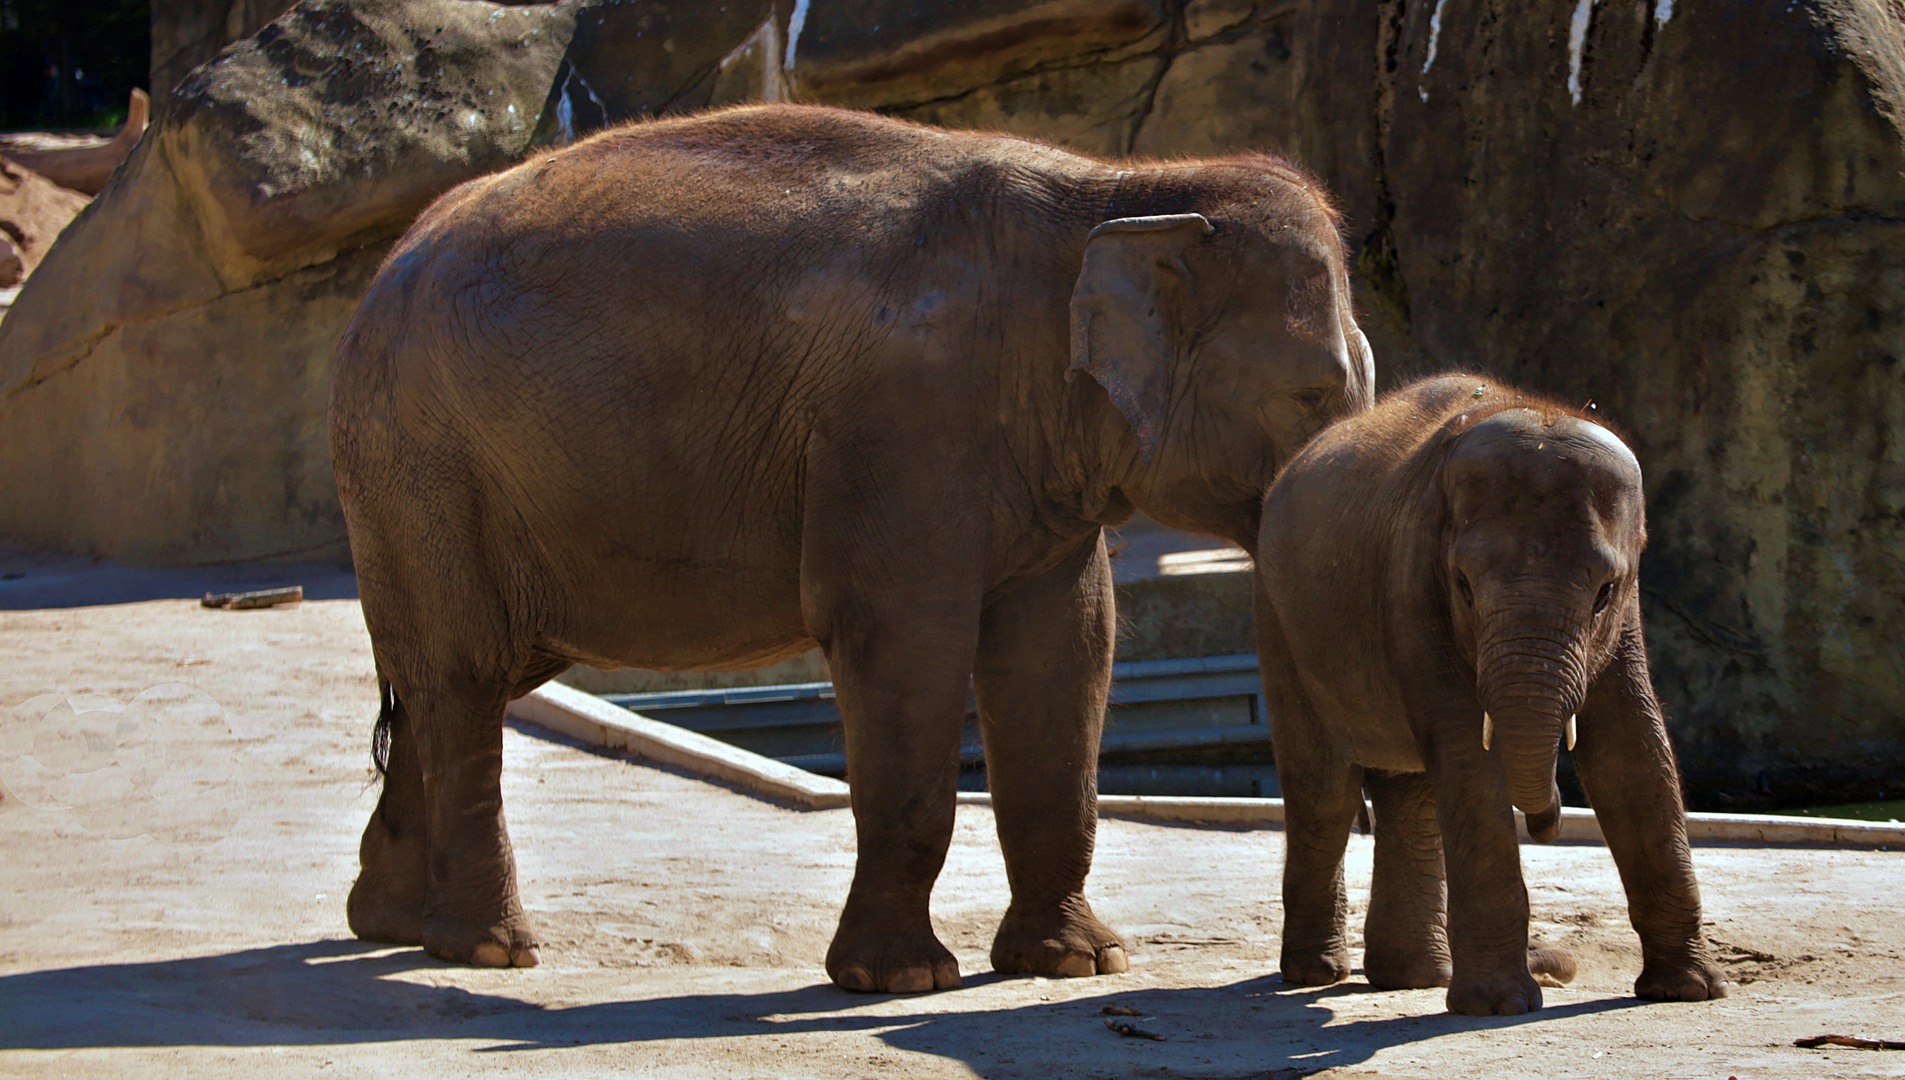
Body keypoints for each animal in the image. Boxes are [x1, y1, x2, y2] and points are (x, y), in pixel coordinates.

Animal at [327, 105, 1371, 990]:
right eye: (1312, 393)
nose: (1322, 974)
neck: (1118, 191)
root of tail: (389, 265)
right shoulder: (905, 423)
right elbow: (905, 643)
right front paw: (903, 980)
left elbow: (1065, 648)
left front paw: (1077, 965)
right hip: (425, 466)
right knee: (465, 674)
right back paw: (487, 950)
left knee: (444, 679)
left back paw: (389, 924)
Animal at [1249, 373, 1729, 1013]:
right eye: (1465, 587)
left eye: (1604, 592)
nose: (1548, 822)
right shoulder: (1413, 581)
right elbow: (1467, 756)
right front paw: (1500, 1006)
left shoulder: (1626, 614)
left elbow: (1630, 750)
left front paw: (1689, 991)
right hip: (1278, 621)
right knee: (1325, 793)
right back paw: (1318, 973)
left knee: (1410, 792)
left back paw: (1415, 977)